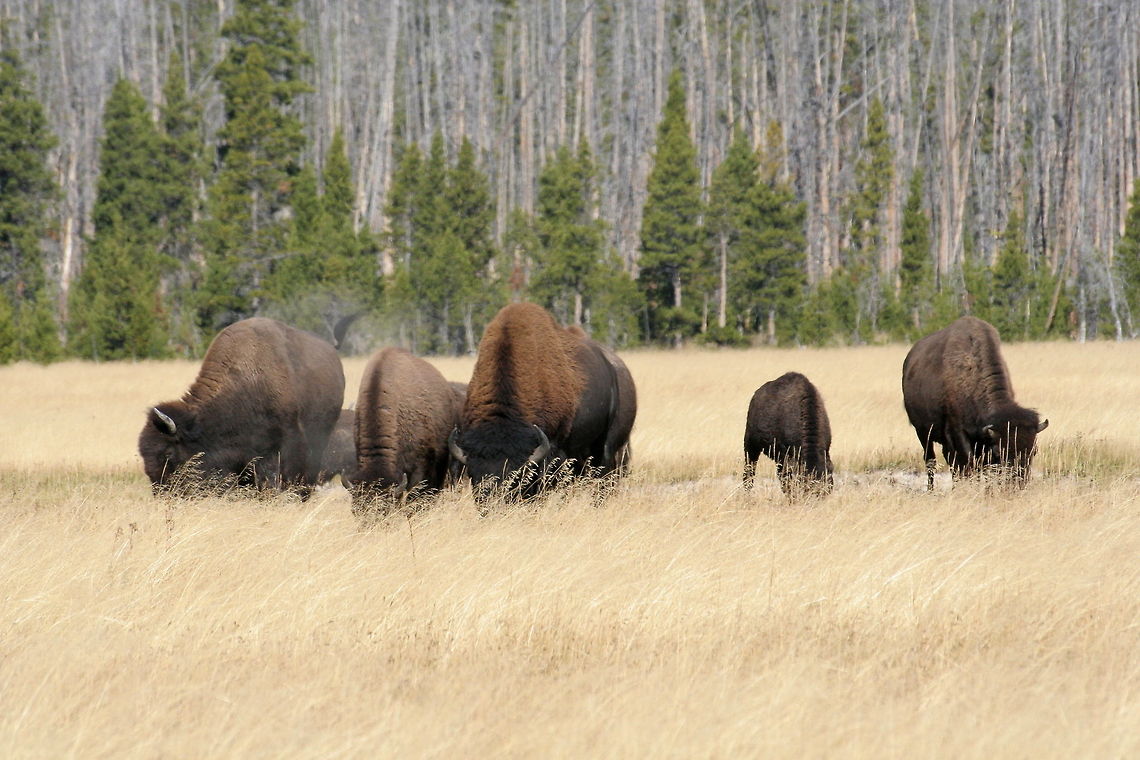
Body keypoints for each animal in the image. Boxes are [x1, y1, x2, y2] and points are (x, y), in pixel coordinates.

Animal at [902, 316, 1048, 490]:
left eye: (1034, 451)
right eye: (999, 452)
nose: (1017, 484)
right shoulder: (959, 434)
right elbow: (969, 464)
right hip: (923, 432)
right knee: (931, 460)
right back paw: (931, 490)